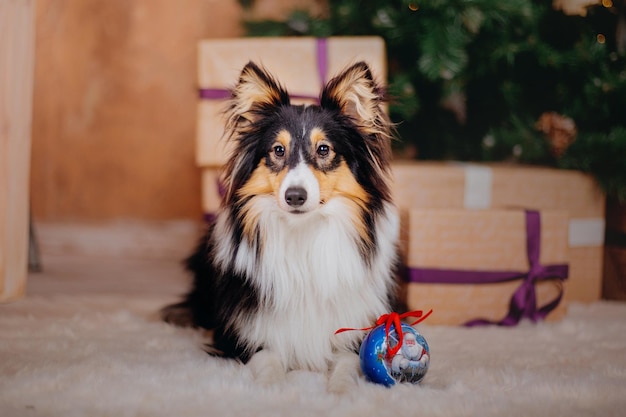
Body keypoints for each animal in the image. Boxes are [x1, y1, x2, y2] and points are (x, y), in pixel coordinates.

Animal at [161, 61, 400, 390]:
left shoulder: (353, 330)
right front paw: (271, 389)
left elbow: (349, 363)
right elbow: (269, 358)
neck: (303, 235)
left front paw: (342, 390)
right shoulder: (241, 336)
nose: (295, 196)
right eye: (277, 150)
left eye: (324, 149)